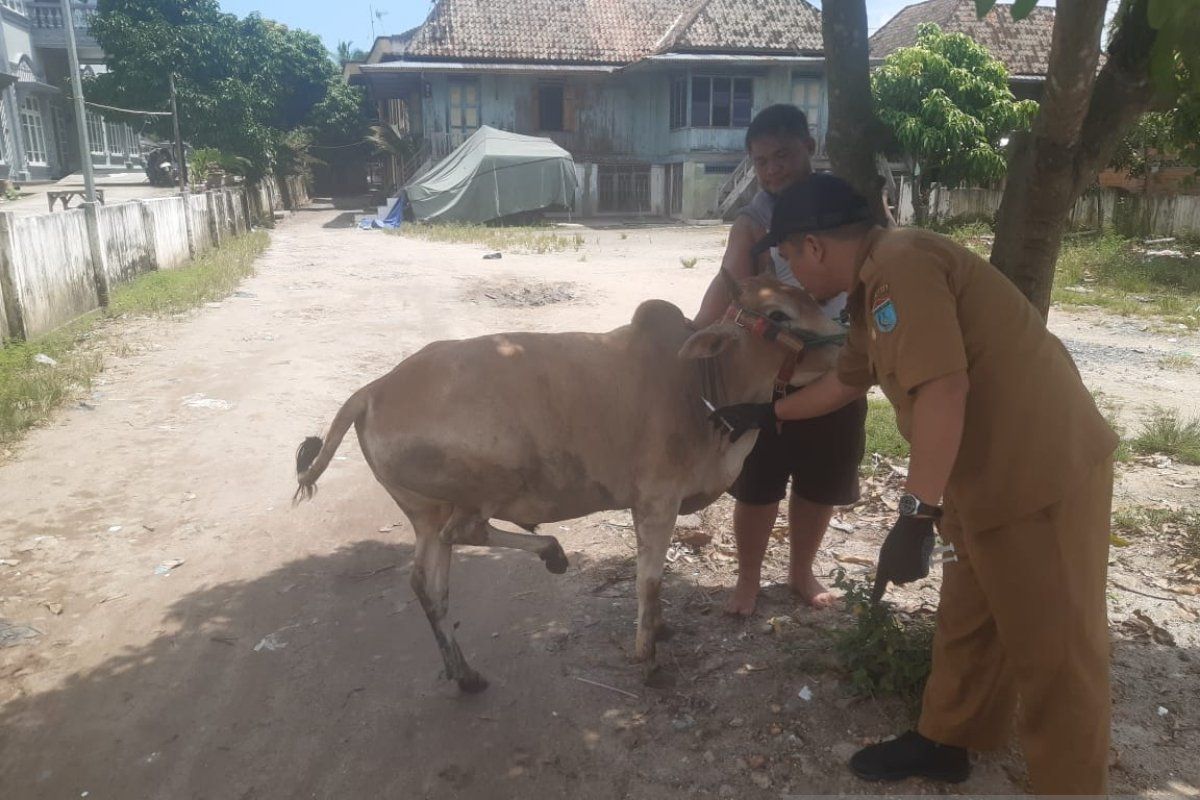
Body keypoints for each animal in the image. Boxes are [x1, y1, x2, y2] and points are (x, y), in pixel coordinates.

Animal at [295, 278, 844, 690]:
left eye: (814, 300)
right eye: (777, 316)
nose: (848, 343)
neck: (702, 385)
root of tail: (373, 390)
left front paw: (661, 628)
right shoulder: (656, 500)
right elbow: (649, 580)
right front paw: (648, 655)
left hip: (424, 514)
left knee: (428, 584)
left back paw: (464, 672)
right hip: (484, 484)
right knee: (466, 533)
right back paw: (551, 554)